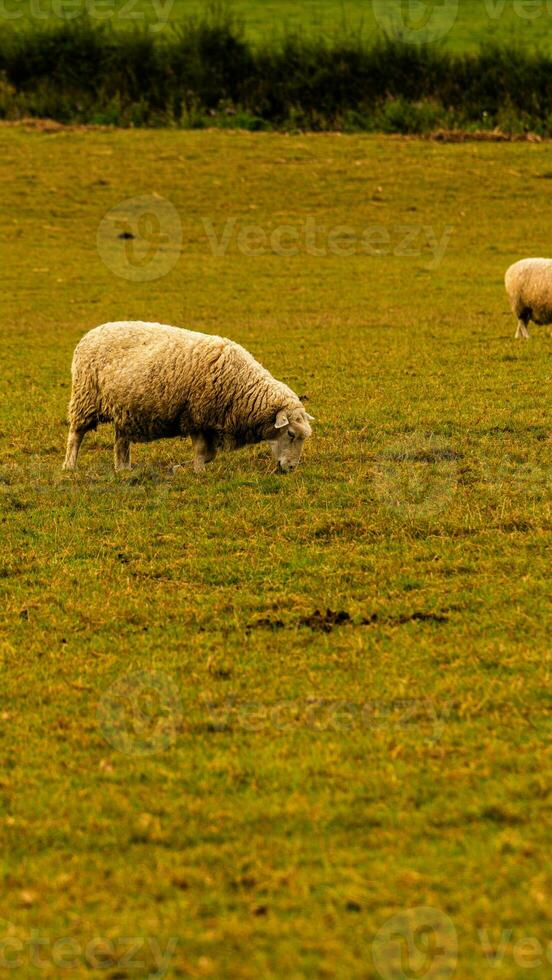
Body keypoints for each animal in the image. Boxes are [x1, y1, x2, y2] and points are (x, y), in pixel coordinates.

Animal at [63, 322, 314, 474]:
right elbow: (203, 451)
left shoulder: (210, 421)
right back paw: (69, 466)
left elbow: (210, 454)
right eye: (291, 434)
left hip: (125, 408)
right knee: (76, 435)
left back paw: (123, 469)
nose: (291, 468)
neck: (242, 386)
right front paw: (196, 471)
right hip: (85, 398)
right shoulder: (196, 415)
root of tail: (91, 332)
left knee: (121, 441)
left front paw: (181, 468)